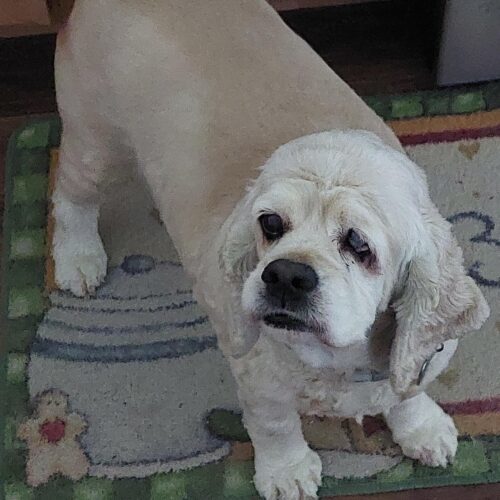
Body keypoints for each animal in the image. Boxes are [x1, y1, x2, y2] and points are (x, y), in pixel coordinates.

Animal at [53, 1, 488, 498]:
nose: (285, 275)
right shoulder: (258, 379)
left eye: (358, 244)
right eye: (271, 223)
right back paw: (78, 258)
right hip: (95, 142)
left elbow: (408, 393)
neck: (339, 362)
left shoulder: (424, 355)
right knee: (71, 196)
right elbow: (274, 425)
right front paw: (287, 472)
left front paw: (423, 430)